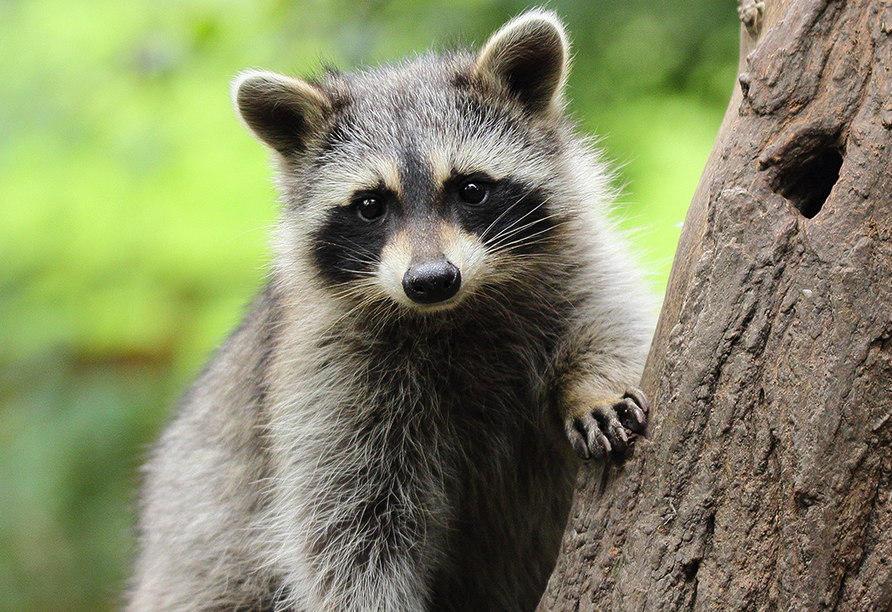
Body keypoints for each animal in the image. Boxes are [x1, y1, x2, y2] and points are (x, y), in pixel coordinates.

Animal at [127, 9, 656, 612]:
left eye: (471, 189)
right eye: (370, 205)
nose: (430, 281)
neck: (455, 311)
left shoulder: (577, 265)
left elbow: (613, 321)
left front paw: (593, 385)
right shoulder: (329, 376)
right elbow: (349, 530)